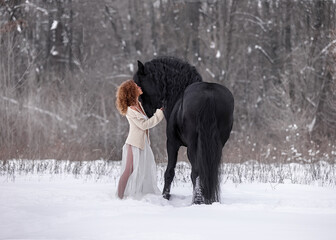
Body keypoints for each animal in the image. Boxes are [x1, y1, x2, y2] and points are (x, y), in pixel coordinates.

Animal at [134, 56, 234, 204]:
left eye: (139, 85)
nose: (147, 113)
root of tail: (208, 95)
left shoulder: (172, 143)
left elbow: (169, 171)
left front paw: (165, 196)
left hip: (193, 145)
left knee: (196, 172)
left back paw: (197, 200)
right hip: (217, 144)